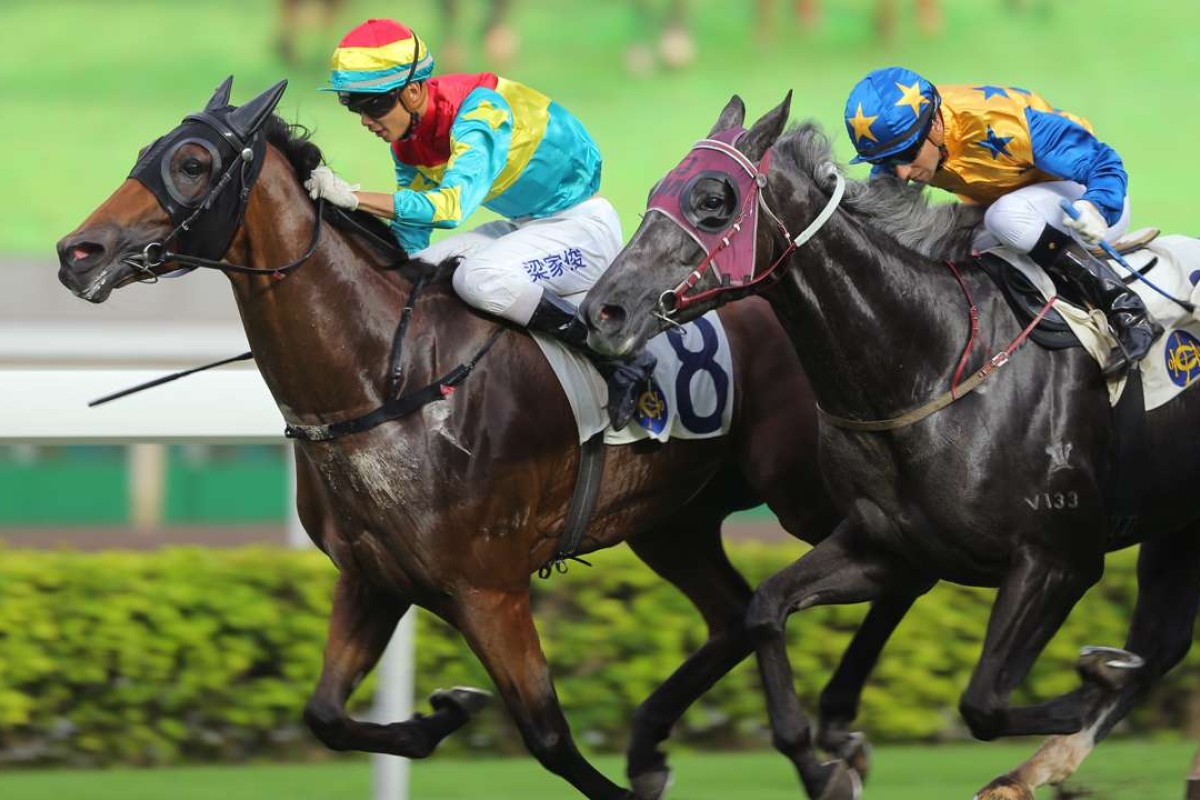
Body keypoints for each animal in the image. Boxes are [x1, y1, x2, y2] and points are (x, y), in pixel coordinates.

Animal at [56, 79, 902, 800]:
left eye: (193, 163)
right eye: (147, 151)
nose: (76, 253)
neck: (383, 380)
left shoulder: (488, 589)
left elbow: (550, 737)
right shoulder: (374, 577)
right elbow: (324, 714)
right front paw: (445, 713)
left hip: (804, 493)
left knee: (897, 562)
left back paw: (832, 741)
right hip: (672, 520)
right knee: (734, 613)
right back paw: (661, 743)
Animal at [578, 95, 1200, 800]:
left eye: (713, 199)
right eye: (656, 191)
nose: (603, 312)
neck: (932, 362)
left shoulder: (1058, 560)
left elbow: (984, 702)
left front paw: (1097, 676)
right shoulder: (886, 547)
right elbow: (766, 609)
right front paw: (821, 765)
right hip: (1178, 523)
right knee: (1166, 638)